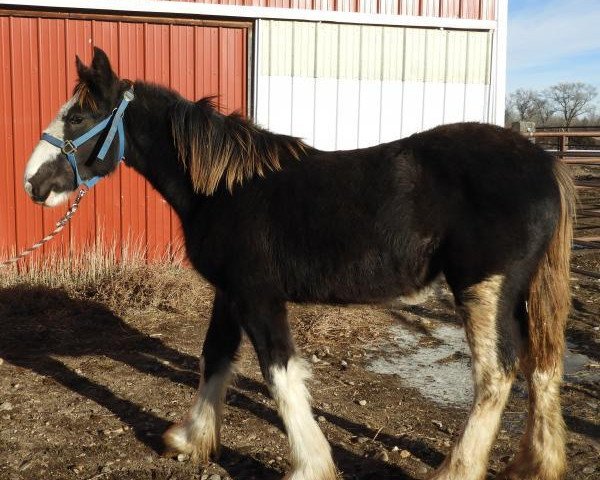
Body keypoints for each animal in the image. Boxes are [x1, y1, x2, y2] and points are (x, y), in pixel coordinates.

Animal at [24, 47, 576, 480]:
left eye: (77, 118)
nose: (33, 184)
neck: (226, 190)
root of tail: (544, 162)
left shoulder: (258, 297)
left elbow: (279, 374)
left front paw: (310, 465)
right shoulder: (229, 294)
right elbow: (214, 358)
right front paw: (190, 439)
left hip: (483, 287)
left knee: (496, 375)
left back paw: (456, 470)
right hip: (522, 293)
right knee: (542, 365)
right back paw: (536, 465)